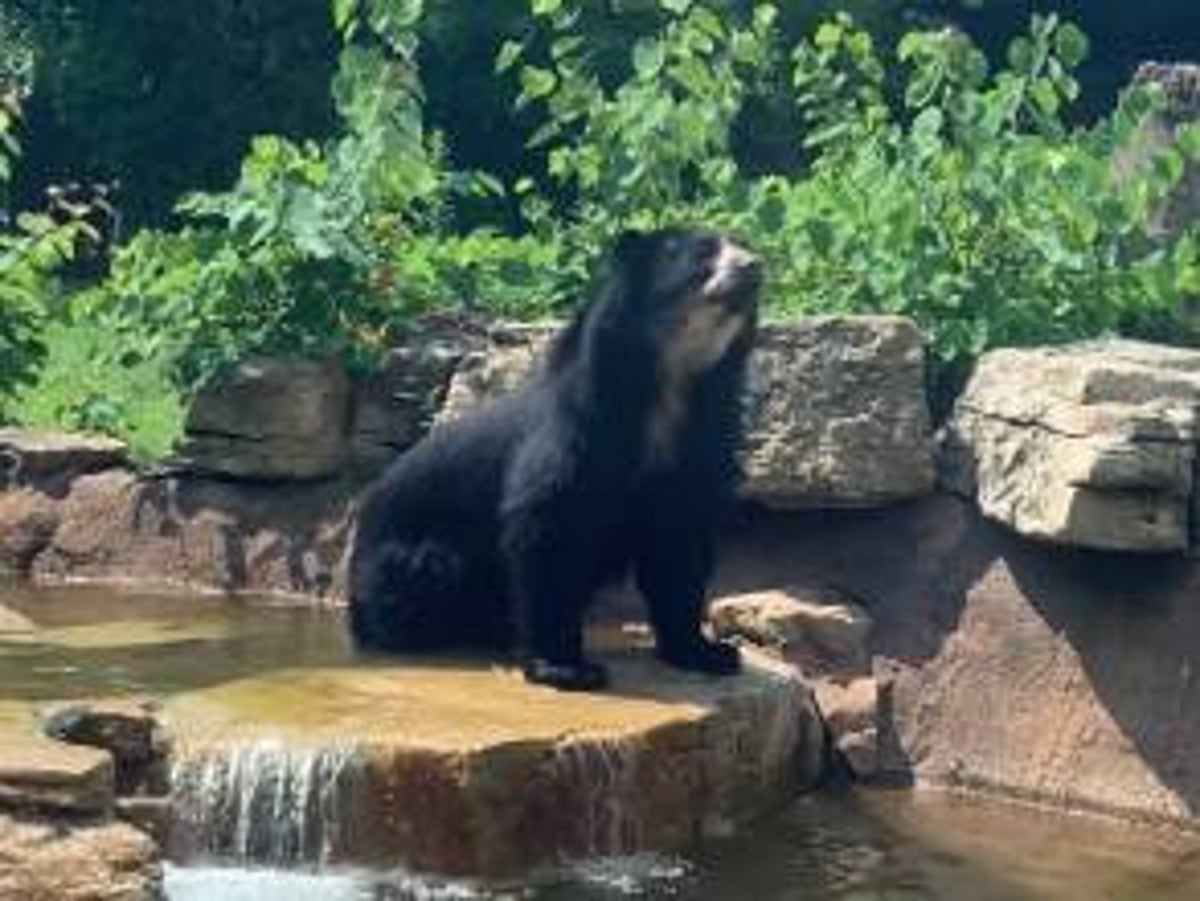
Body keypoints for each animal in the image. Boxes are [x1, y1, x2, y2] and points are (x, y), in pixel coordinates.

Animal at [348, 225, 758, 691]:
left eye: (743, 245)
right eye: (703, 254)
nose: (754, 267)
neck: (672, 384)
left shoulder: (696, 447)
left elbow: (680, 547)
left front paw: (709, 653)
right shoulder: (577, 436)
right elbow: (551, 533)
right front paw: (567, 668)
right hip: (411, 558)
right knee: (425, 575)